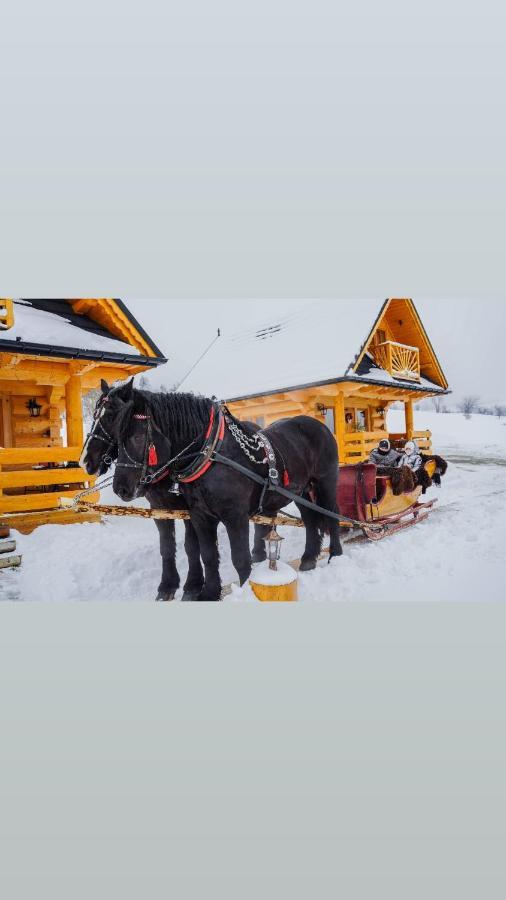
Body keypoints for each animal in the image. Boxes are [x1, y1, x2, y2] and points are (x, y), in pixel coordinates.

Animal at [81, 376, 204, 600]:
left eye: (111, 417)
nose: (86, 461)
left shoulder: (190, 510)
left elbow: (192, 546)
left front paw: (193, 585)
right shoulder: (159, 508)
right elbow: (166, 546)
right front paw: (167, 586)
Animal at [108, 380, 342, 596]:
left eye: (137, 437)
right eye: (116, 439)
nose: (120, 488)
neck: (211, 454)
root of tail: (319, 425)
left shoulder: (235, 516)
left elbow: (240, 558)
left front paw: (246, 589)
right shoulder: (199, 516)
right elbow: (208, 555)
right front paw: (209, 593)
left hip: (326, 482)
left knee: (332, 515)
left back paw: (336, 555)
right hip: (301, 490)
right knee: (311, 519)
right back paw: (309, 558)